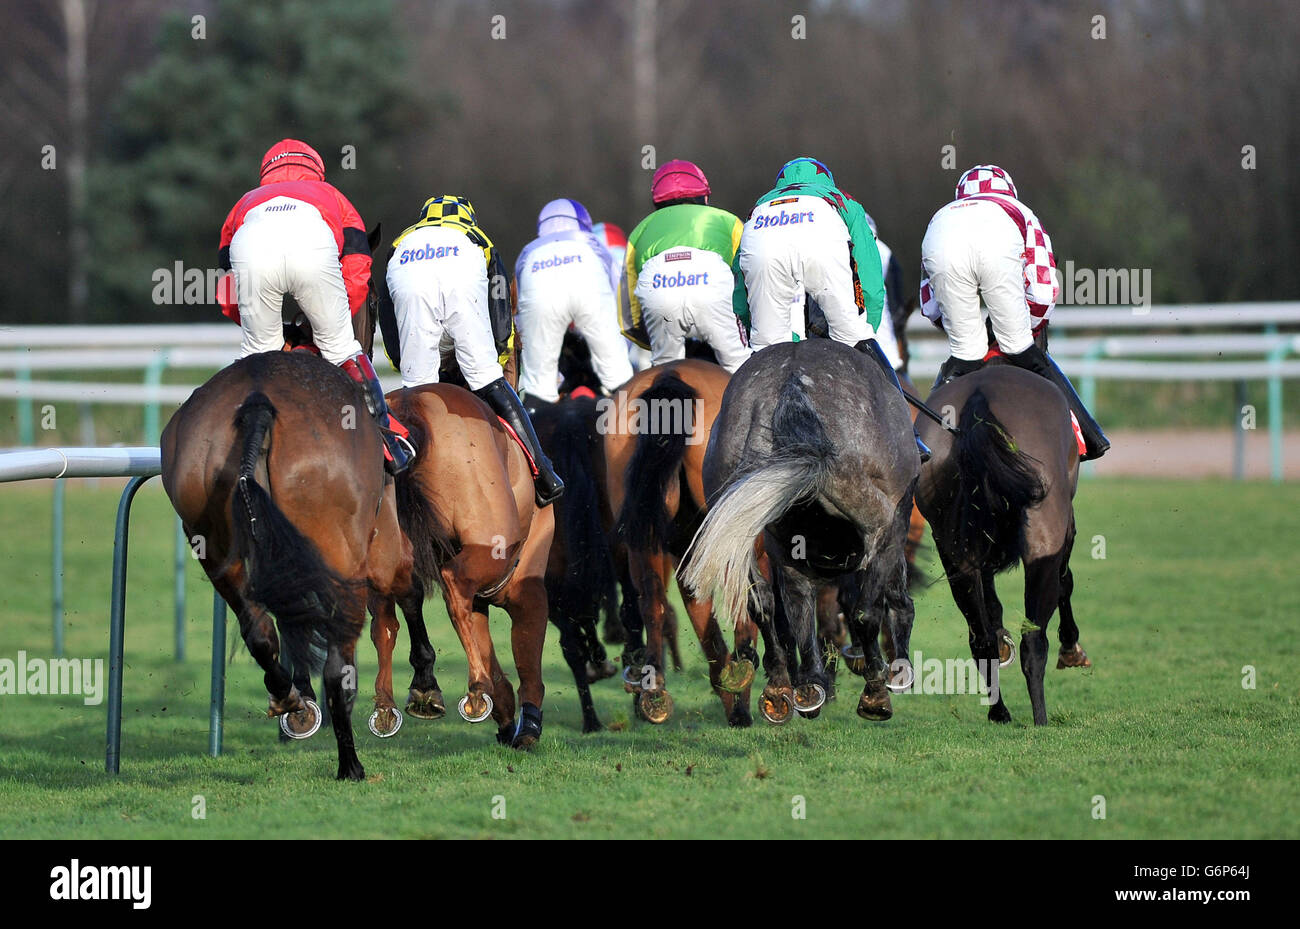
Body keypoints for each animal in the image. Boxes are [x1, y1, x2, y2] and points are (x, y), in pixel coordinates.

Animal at [603, 358, 759, 727]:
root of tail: (669, 375)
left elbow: (706, 624)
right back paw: (743, 666)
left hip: (644, 532)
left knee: (652, 600)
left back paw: (655, 688)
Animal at [681, 340, 925, 727]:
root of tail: (792, 380)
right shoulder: (889, 527)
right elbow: (871, 607)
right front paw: (889, 673)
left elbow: (798, 616)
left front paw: (809, 685)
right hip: (875, 522)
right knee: (863, 610)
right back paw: (874, 689)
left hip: (744, 525)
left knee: (764, 603)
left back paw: (785, 689)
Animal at [920, 363, 1092, 727]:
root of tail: (980, 396)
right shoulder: (1065, 530)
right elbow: (1066, 583)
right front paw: (1071, 649)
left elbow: (992, 609)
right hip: (1043, 537)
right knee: (1033, 639)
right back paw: (1040, 719)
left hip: (953, 554)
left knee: (981, 640)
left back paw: (1000, 712)